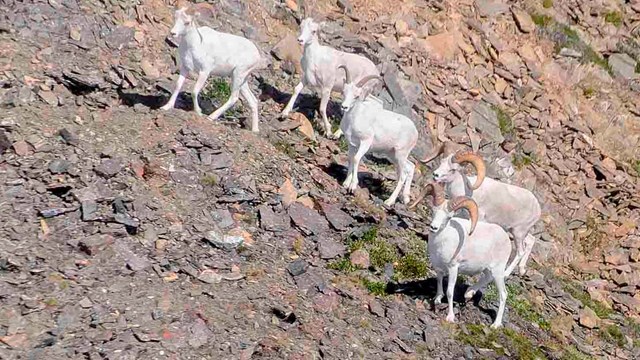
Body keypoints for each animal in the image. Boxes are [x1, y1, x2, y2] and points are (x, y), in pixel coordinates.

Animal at [165, 3, 268, 132]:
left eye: (187, 22)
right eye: (176, 18)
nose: (173, 33)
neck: (194, 45)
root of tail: (256, 55)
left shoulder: (204, 72)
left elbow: (194, 91)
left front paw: (198, 112)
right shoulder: (185, 68)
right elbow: (178, 86)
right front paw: (167, 107)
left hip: (238, 75)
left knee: (234, 98)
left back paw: (211, 117)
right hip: (241, 80)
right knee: (253, 101)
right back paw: (254, 130)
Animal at [340, 64, 420, 205]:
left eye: (356, 96)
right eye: (344, 92)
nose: (344, 107)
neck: (354, 118)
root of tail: (415, 131)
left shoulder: (365, 143)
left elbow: (356, 159)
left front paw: (353, 186)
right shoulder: (352, 144)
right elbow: (350, 158)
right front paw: (345, 183)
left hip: (400, 155)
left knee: (403, 175)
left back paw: (389, 201)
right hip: (393, 155)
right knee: (410, 168)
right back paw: (405, 198)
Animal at [410, 184, 516, 328]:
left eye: (448, 217)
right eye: (433, 210)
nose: (434, 227)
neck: (441, 243)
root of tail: (505, 238)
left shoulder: (453, 268)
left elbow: (450, 292)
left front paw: (450, 317)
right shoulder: (438, 268)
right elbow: (439, 283)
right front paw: (437, 299)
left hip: (498, 272)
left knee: (503, 295)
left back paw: (495, 324)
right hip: (488, 270)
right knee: (486, 278)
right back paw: (468, 293)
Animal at [420, 143, 540, 276]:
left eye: (453, 169)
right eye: (442, 161)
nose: (435, 175)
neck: (467, 190)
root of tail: (537, 208)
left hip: (518, 234)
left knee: (520, 252)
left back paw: (506, 274)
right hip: (517, 231)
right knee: (531, 240)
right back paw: (522, 270)